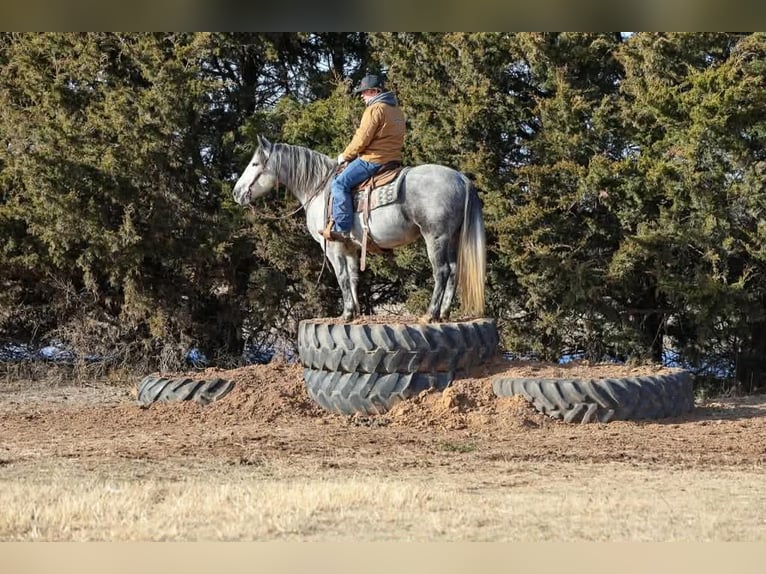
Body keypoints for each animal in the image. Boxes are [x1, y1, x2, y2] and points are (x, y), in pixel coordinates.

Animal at [232, 136, 486, 323]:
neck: (319, 188)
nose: (236, 192)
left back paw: (431, 315)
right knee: (453, 272)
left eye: (255, 164)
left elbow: (342, 277)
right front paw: (355, 312)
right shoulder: (350, 247)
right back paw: (444, 313)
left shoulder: (333, 247)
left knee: (441, 271)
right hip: (452, 239)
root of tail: (461, 178)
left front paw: (345, 313)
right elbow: (353, 277)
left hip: (435, 237)